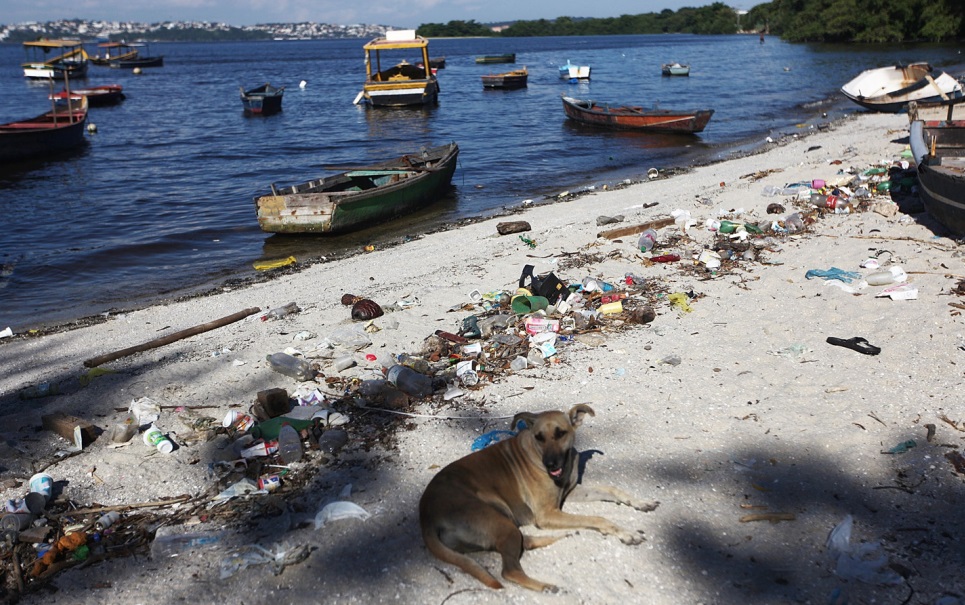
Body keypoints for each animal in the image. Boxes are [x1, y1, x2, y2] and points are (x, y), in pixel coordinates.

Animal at [418, 402, 660, 588]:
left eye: (560, 433)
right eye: (539, 437)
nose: (550, 464)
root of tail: (426, 516)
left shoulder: (570, 492)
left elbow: (611, 489)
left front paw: (640, 502)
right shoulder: (547, 514)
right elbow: (598, 518)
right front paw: (625, 532)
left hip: (502, 523)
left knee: (524, 542)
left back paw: (562, 536)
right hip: (498, 517)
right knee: (509, 570)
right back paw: (545, 585)